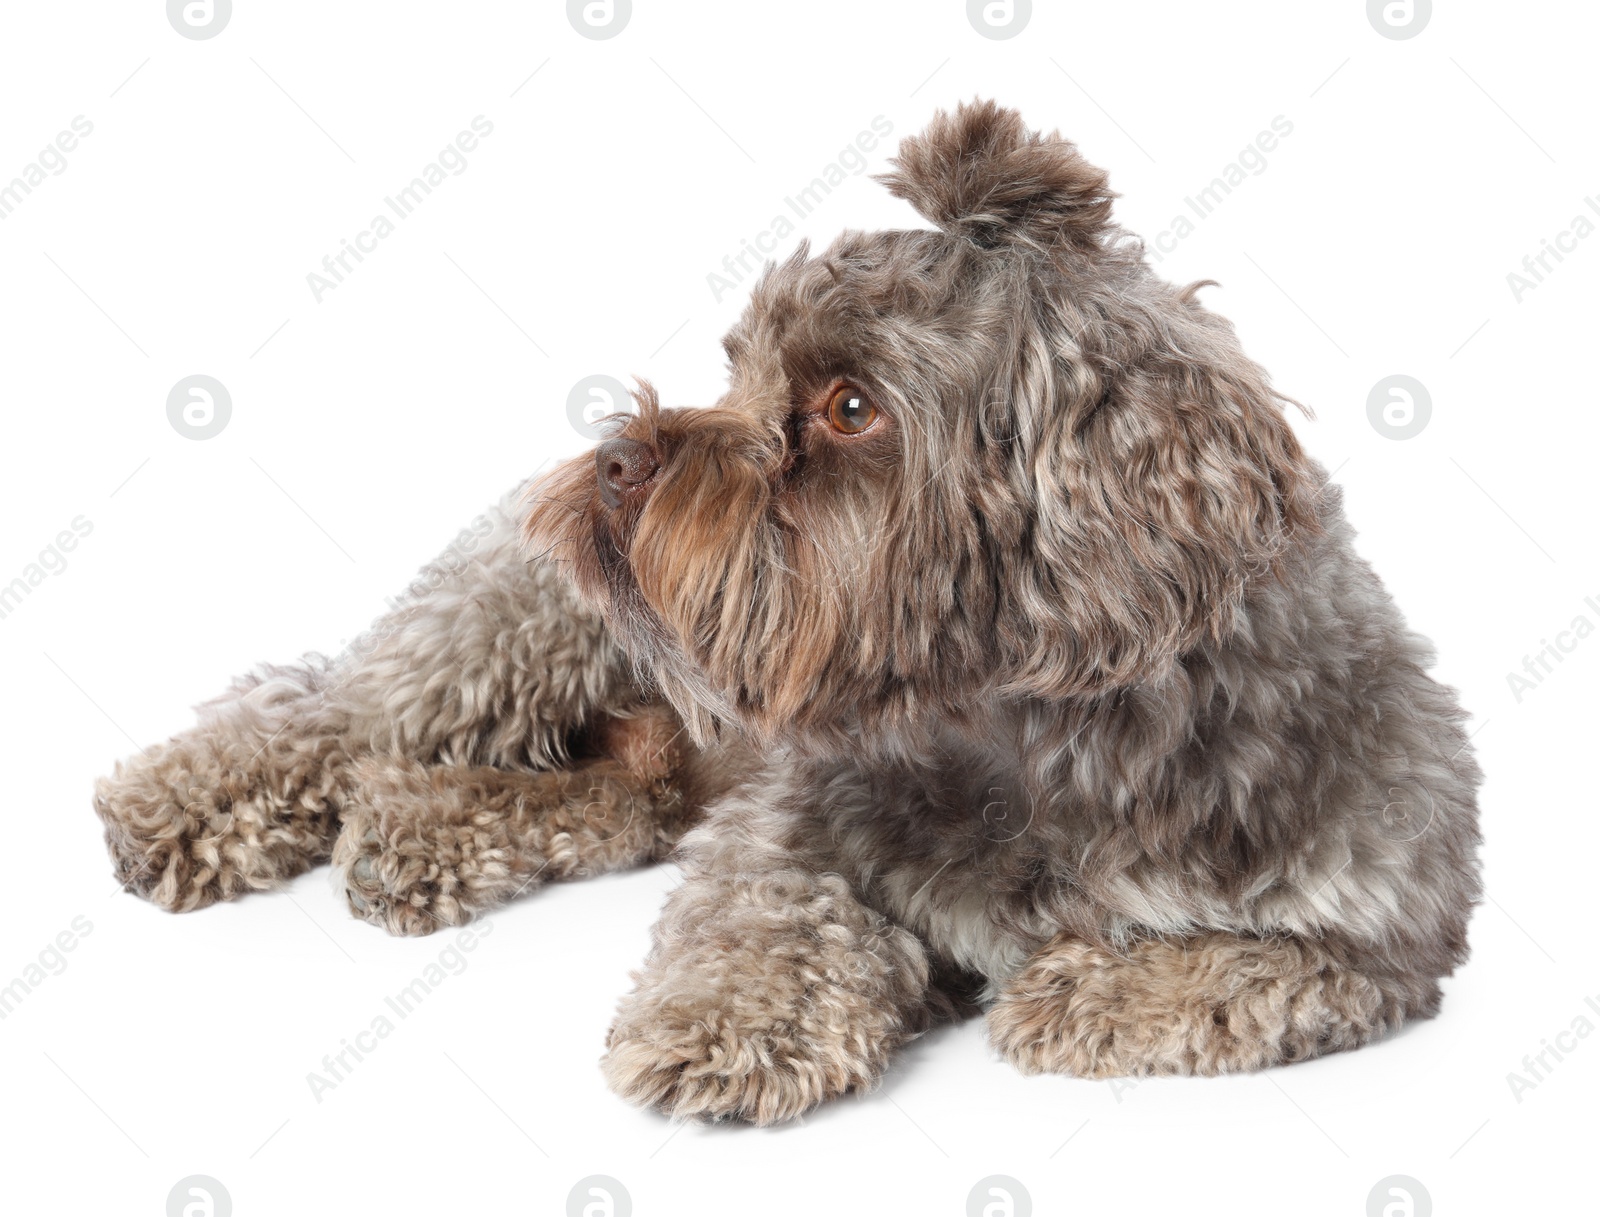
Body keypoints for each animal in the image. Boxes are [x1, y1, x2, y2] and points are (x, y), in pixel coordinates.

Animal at [93, 99, 1478, 1125]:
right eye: (740, 368)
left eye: (851, 406)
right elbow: (772, 916)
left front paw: (1087, 986)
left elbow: (1248, 969)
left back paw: (413, 834)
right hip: (517, 632)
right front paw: (732, 1021)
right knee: (325, 707)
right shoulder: (784, 822)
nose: (617, 456)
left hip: (631, 751)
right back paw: (176, 804)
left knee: (593, 792)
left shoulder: (1386, 928)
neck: (1030, 737)